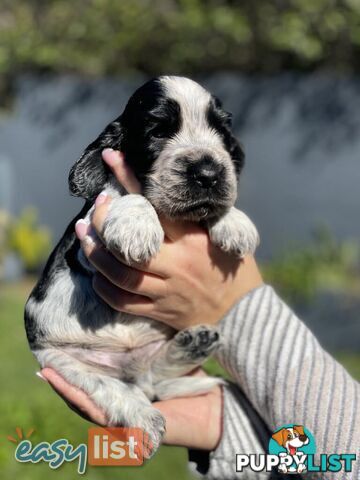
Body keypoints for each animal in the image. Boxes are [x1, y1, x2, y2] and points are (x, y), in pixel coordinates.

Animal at [25, 75, 260, 454]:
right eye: (157, 131)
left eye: (222, 132)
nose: (209, 173)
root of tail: (130, 367)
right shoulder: (86, 242)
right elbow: (125, 192)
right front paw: (136, 223)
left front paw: (233, 221)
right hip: (64, 364)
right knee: (122, 390)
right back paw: (144, 416)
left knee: (153, 380)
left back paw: (193, 344)